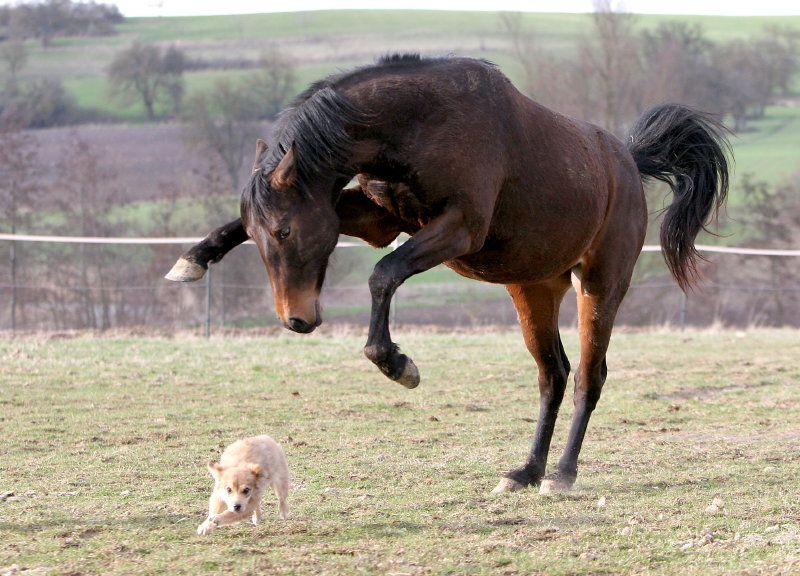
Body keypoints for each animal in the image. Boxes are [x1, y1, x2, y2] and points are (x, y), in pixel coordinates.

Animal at [166, 54, 728, 492]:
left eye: (284, 231)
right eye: (258, 233)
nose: (296, 320)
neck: (419, 124)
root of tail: (627, 162)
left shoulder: (458, 228)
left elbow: (384, 273)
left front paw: (397, 363)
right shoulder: (380, 219)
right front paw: (193, 259)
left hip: (600, 286)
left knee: (589, 378)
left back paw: (561, 475)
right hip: (533, 289)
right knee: (553, 375)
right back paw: (525, 471)